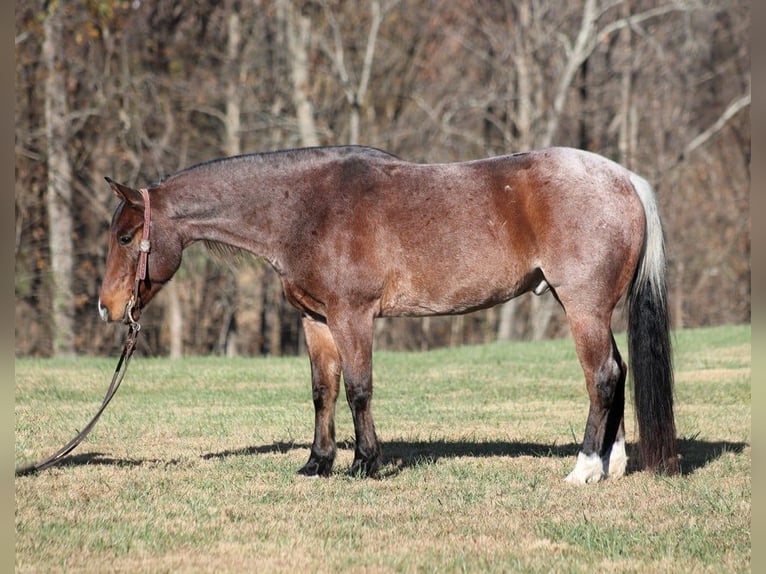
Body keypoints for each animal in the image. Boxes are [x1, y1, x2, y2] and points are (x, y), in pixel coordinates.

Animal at [98, 145, 678, 484]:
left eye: (126, 237)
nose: (107, 308)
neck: (306, 208)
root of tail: (625, 178)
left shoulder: (352, 316)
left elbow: (359, 388)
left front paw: (364, 463)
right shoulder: (316, 321)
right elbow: (323, 392)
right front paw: (317, 463)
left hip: (582, 306)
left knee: (601, 377)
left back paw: (584, 470)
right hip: (588, 308)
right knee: (618, 371)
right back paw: (614, 464)